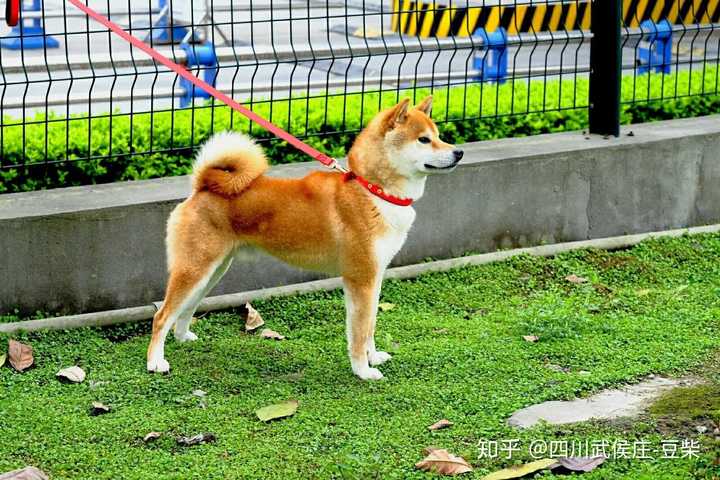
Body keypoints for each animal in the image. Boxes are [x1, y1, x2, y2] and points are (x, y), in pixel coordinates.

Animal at [148, 97, 464, 380]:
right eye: (424, 140)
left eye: (438, 136)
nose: (459, 152)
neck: (372, 190)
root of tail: (202, 187)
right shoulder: (360, 279)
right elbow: (359, 332)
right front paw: (363, 371)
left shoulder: (374, 277)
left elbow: (370, 327)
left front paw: (373, 357)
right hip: (195, 269)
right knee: (161, 315)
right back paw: (155, 362)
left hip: (212, 271)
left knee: (186, 308)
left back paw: (183, 337)